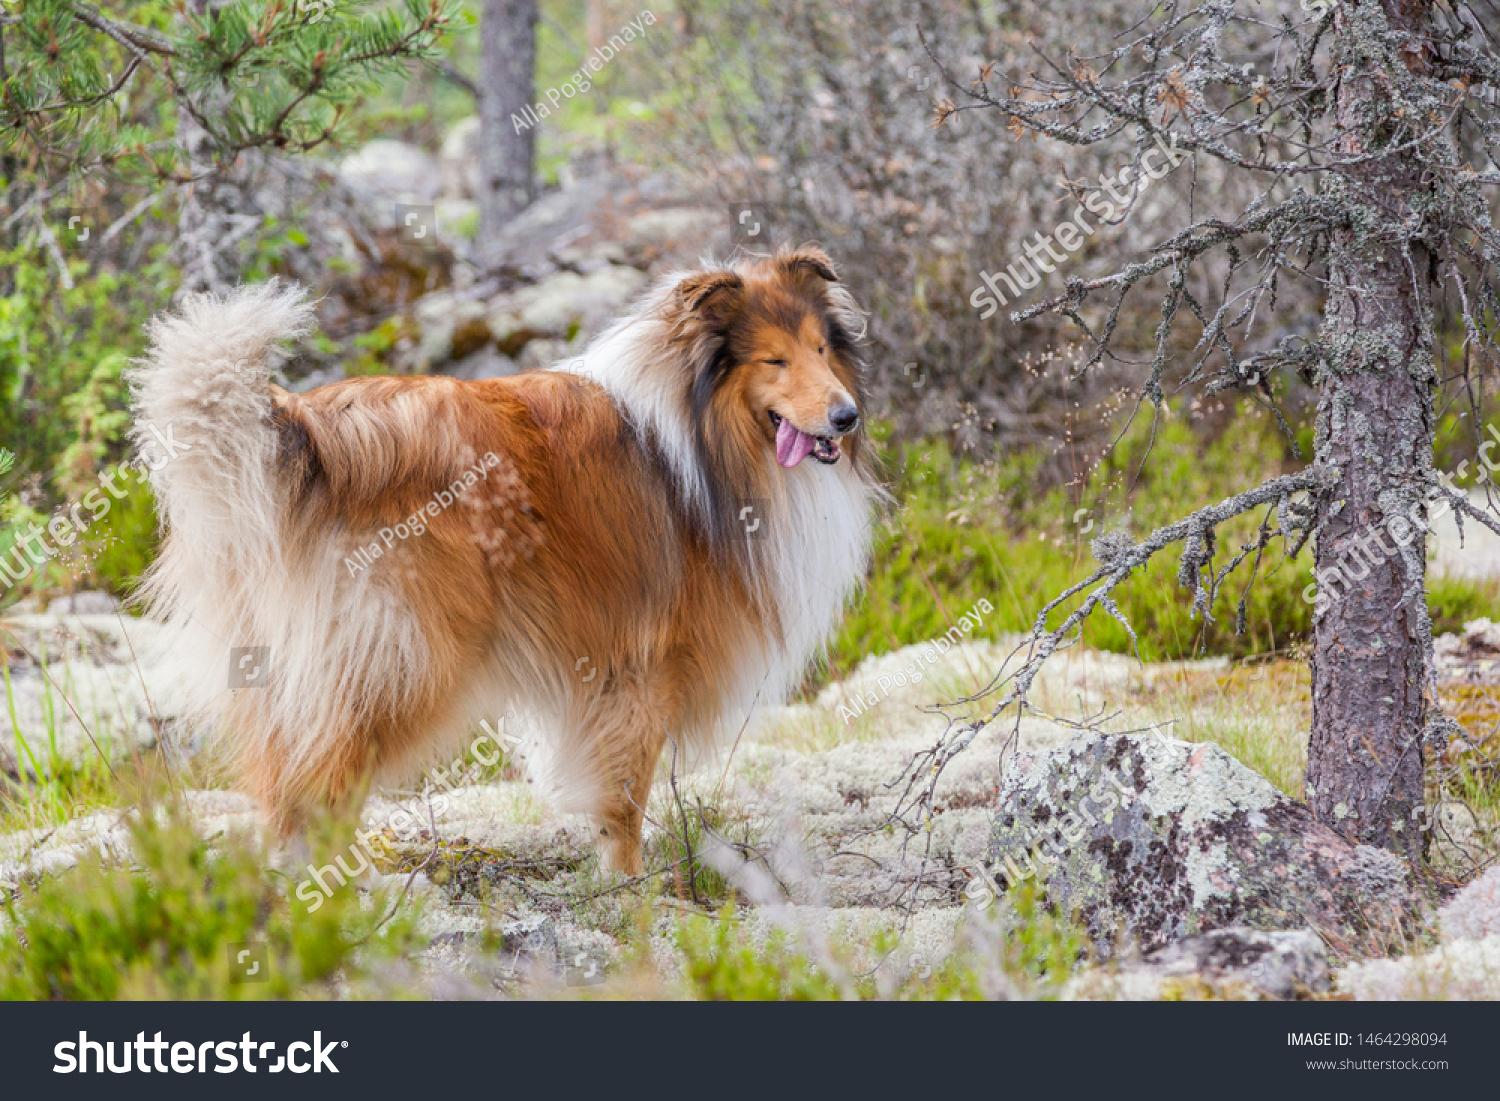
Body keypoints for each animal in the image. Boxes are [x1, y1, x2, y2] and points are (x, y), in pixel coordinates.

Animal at [132, 246, 876, 876]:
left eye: (820, 349)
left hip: (283, 667)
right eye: (773, 362)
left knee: (282, 784)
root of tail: (316, 432)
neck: (699, 441)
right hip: (403, 662)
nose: (847, 418)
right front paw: (629, 887)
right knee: (319, 782)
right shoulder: (638, 663)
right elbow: (624, 796)